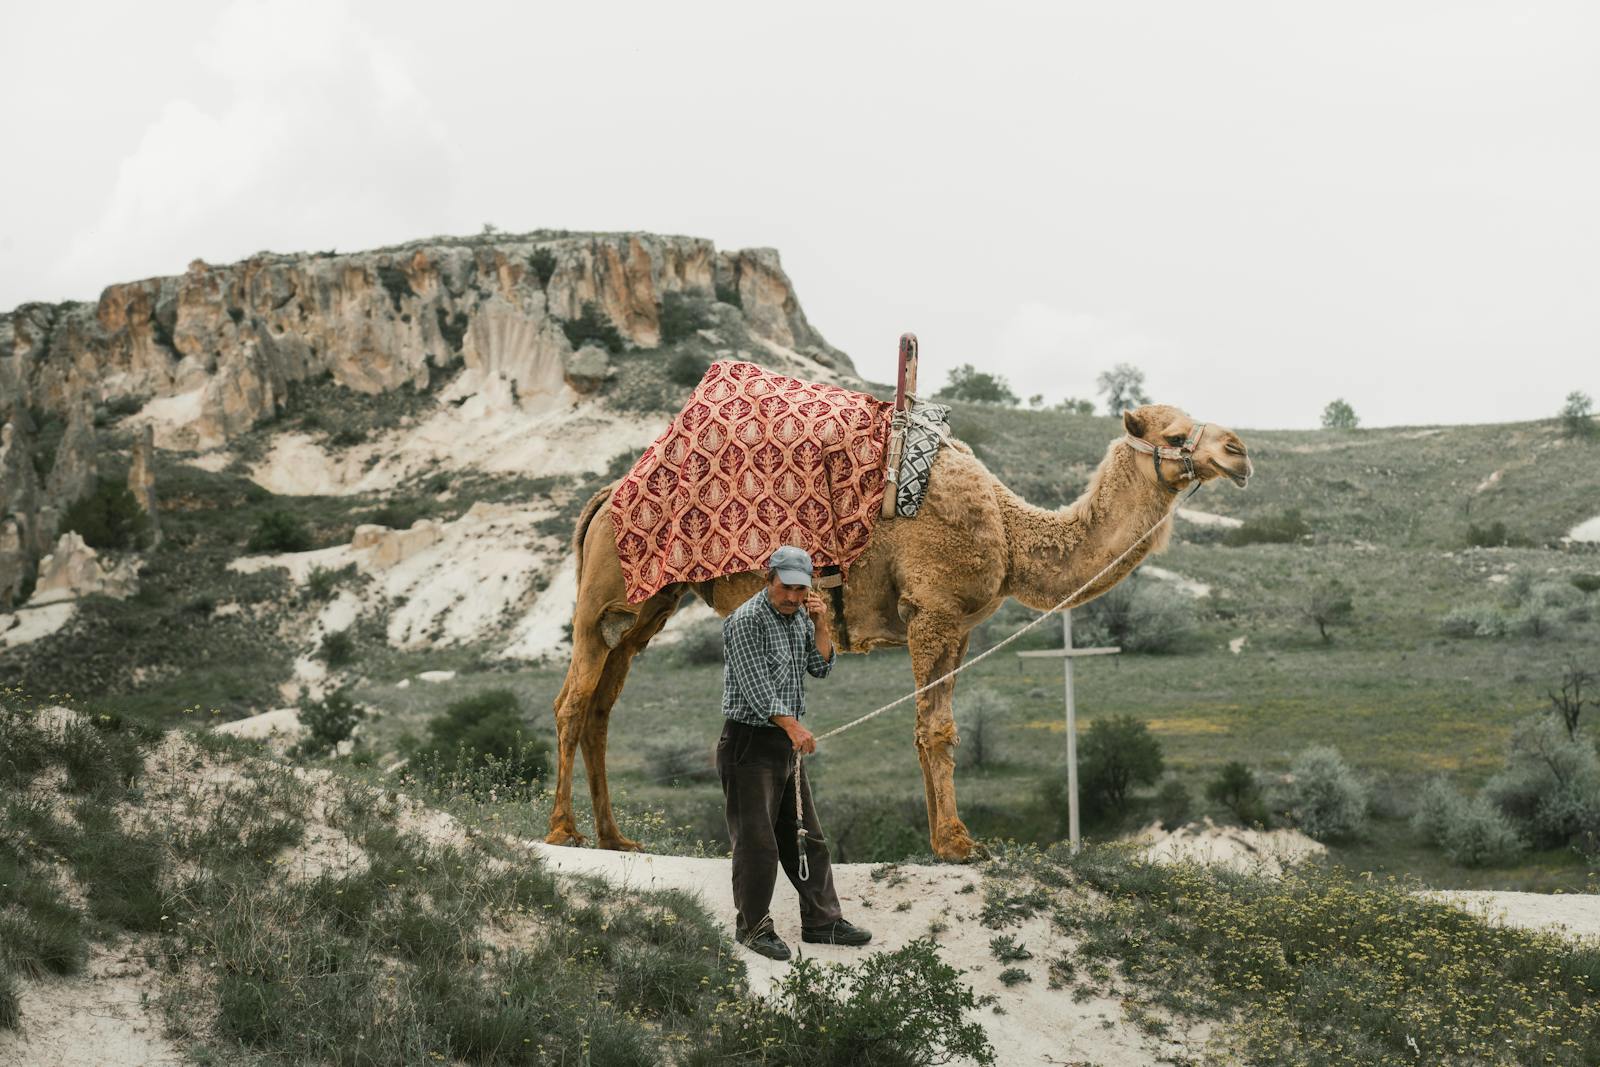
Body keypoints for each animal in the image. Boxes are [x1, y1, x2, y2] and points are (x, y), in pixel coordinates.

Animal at [547, 404, 1248, 863]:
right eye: (1177, 433)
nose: (1240, 451)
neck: (1008, 529)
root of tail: (606, 496)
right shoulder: (934, 609)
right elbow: (934, 729)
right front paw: (959, 844)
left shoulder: (958, 626)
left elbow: (935, 728)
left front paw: (945, 839)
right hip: (604, 596)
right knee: (573, 701)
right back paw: (562, 831)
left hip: (645, 608)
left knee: (603, 706)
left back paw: (613, 837)